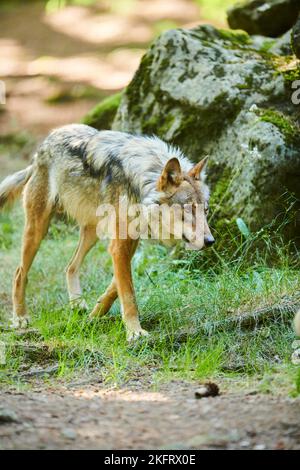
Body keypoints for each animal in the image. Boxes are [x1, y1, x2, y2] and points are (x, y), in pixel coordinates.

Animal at [0, 123, 213, 340]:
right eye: (188, 210)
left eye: (205, 211)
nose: (210, 241)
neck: (142, 184)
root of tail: (42, 148)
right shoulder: (119, 246)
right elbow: (128, 294)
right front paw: (135, 332)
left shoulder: (128, 244)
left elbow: (115, 287)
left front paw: (96, 313)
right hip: (38, 230)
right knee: (19, 273)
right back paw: (20, 318)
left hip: (91, 233)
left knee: (70, 266)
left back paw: (77, 304)